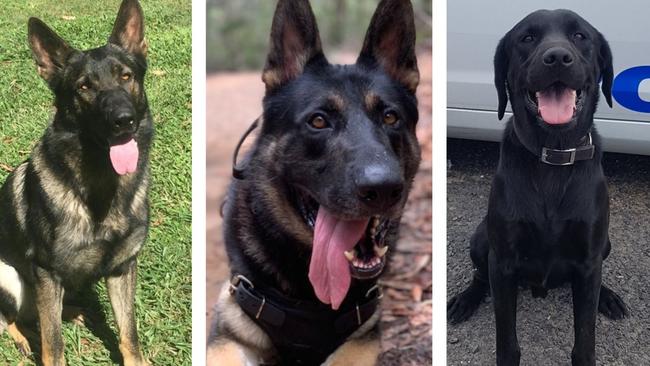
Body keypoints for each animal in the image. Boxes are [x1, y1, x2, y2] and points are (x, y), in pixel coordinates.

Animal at [0, 1, 152, 364]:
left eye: (126, 76)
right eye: (84, 87)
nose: (123, 121)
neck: (102, 188)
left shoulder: (122, 269)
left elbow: (129, 334)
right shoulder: (45, 272)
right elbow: (53, 345)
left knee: (39, 313)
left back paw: (70, 312)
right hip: (9, 276)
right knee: (12, 317)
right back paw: (23, 337)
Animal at [208, 0, 418, 364]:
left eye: (391, 117)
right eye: (318, 121)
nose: (382, 188)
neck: (310, 299)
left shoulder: (363, 338)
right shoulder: (227, 330)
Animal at [448, 8, 624, 366]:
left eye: (580, 36)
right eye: (527, 38)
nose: (557, 58)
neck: (553, 156)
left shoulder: (589, 260)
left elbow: (585, 337)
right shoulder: (502, 262)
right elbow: (506, 340)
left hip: (605, 245)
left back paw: (608, 297)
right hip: (480, 239)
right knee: (479, 275)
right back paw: (465, 299)